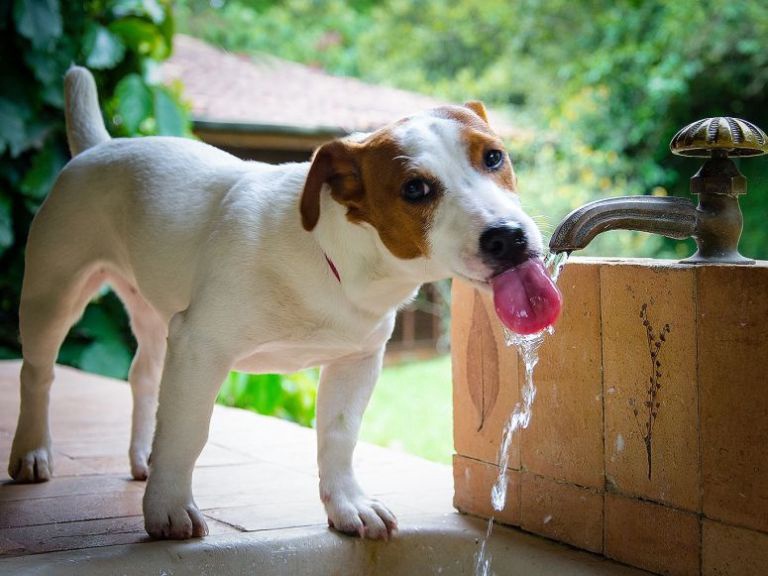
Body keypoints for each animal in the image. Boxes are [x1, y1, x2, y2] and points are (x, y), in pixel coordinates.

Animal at [6, 67, 548, 540]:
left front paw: (348, 505)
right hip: (53, 294)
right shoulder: (200, 346)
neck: (334, 260)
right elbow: (187, 430)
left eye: (493, 157)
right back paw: (32, 453)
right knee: (38, 374)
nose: (507, 237)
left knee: (142, 374)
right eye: (415, 189)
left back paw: (144, 457)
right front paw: (169, 509)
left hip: (154, 312)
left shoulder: (357, 360)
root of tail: (100, 146)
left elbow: (338, 436)